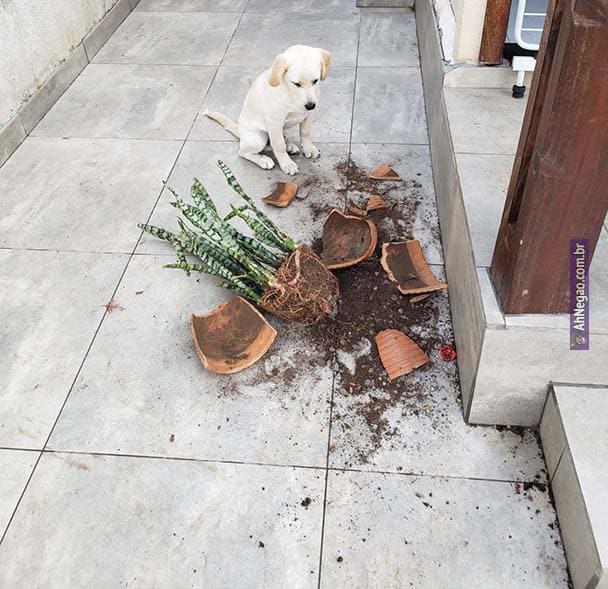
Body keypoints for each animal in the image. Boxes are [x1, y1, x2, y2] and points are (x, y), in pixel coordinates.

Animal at [205, 45, 331, 176]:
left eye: (315, 81)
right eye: (296, 84)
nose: (310, 105)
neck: (290, 94)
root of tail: (240, 131)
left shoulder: (307, 114)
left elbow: (305, 132)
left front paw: (309, 148)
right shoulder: (274, 122)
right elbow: (279, 145)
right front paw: (287, 164)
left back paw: (289, 146)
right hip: (258, 138)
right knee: (243, 152)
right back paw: (263, 160)